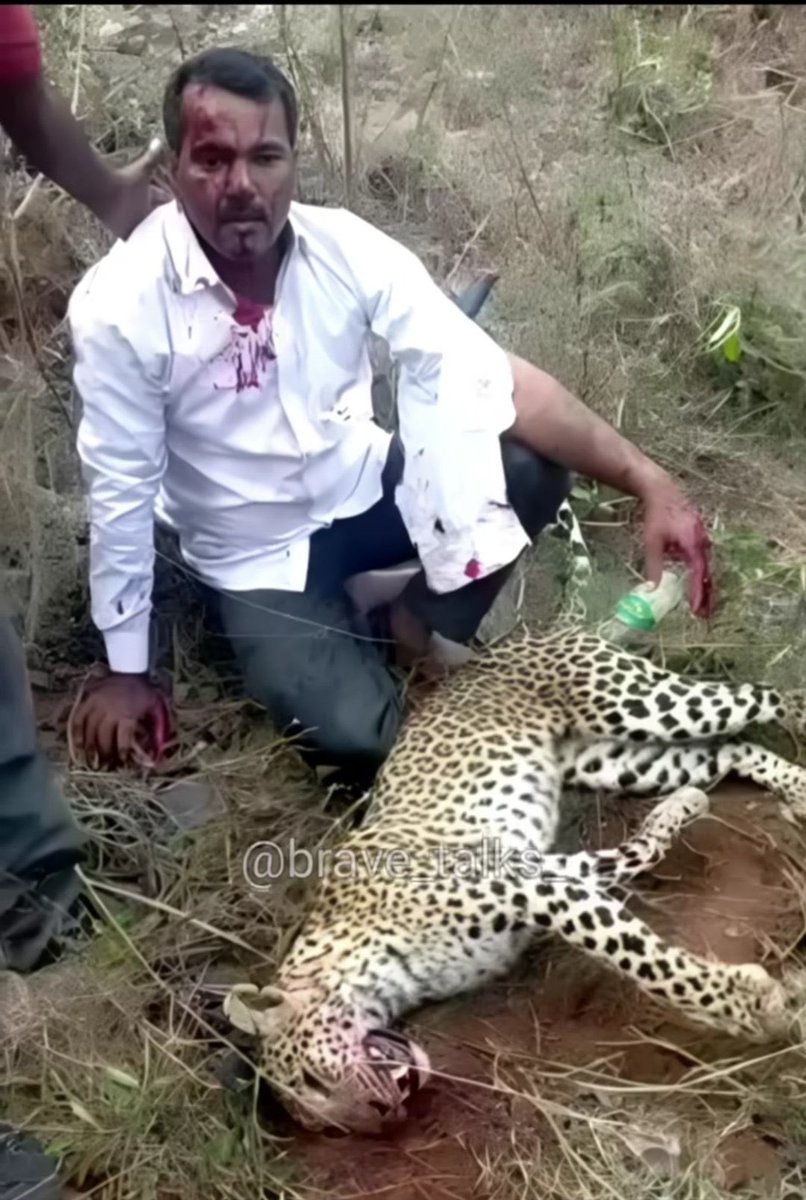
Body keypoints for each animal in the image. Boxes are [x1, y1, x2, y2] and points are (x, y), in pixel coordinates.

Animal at [224, 624, 806, 1136]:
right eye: (333, 1129)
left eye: (312, 1080)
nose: (385, 1117)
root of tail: (509, 641)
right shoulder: (551, 873)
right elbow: (637, 855)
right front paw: (680, 812)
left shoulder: (531, 887)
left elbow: (641, 960)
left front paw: (751, 1009)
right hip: (619, 762)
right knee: (727, 750)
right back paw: (789, 789)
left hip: (644, 706)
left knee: (763, 694)